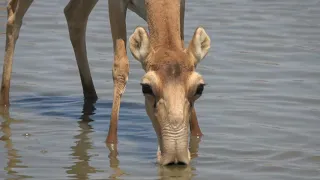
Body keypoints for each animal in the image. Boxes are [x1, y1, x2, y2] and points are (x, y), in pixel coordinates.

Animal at [1, 0, 211, 165]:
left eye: (199, 88)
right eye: (146, 88)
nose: (175, 157)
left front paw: (197, 134)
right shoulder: (116, 4)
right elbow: (120, 67)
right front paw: (111, 141)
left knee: (74, 14)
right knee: (13, 14)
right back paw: (5, 101)